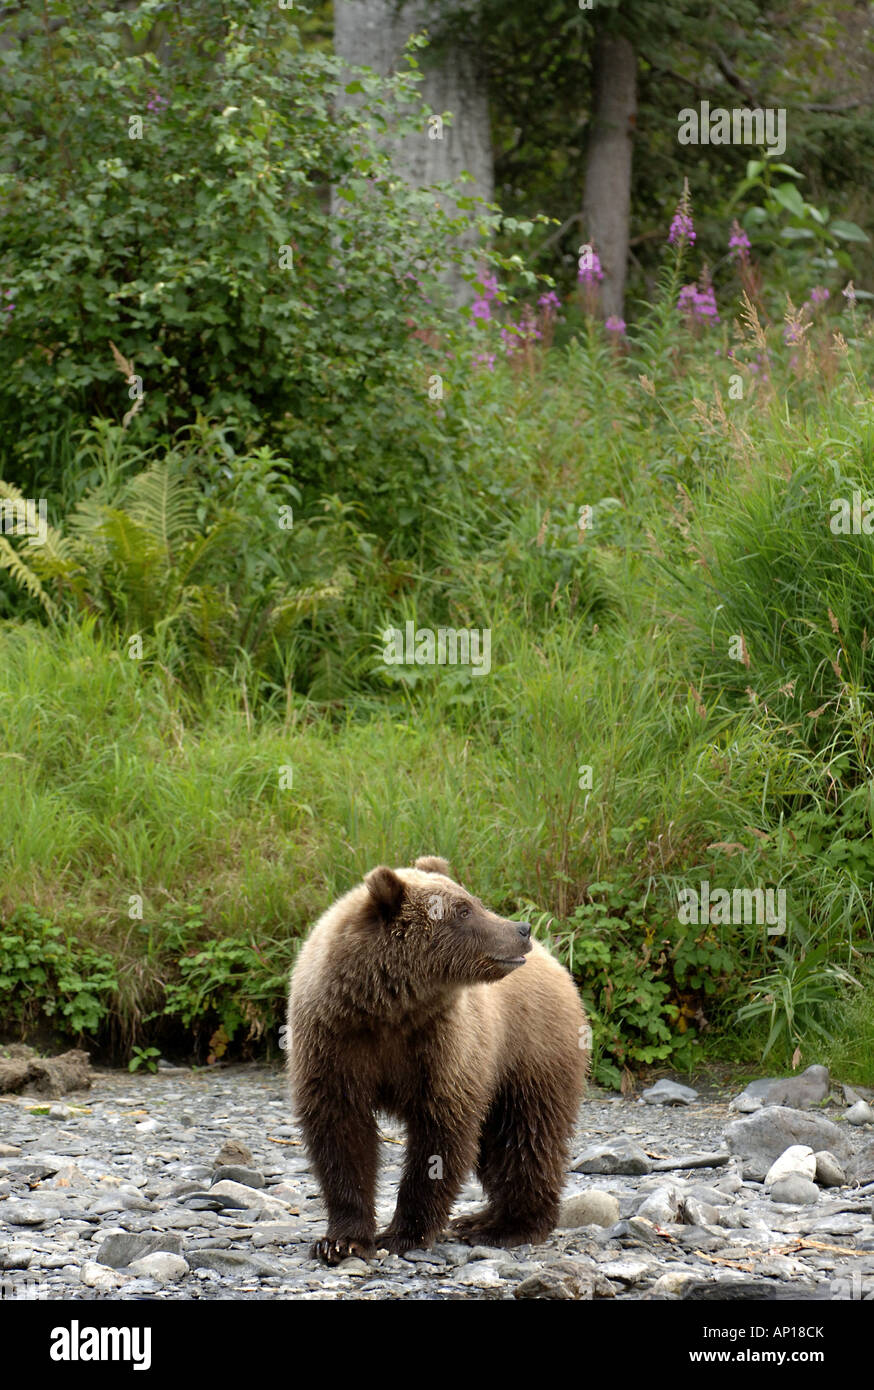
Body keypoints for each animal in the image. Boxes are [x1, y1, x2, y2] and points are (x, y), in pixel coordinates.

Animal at [287, 855, 588, 1265]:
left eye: (472, 902)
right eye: (464, 910)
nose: (521, 928)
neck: (390, 1008)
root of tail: (554, 962)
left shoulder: (444, 1047)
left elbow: (440, 1136)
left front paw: (403, 1233)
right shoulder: (334, 1042)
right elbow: (340, 1132)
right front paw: (341, 1240)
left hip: (530, 1050)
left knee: (526, 1133)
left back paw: (506, 1226)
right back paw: (481, 1219)